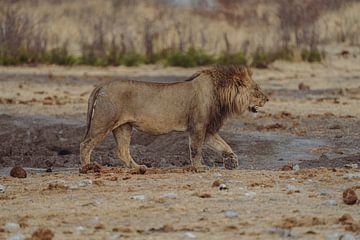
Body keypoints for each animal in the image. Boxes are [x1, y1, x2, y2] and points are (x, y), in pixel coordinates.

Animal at [80, 64, 268, 172]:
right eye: (256, 89)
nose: (267, 99)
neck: (221, 95)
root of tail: (101, 85)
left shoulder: (208, 129)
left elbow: (224, 145)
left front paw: (232, 161)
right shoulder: (198, 126)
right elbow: (196, 149)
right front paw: (199, 167)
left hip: (124, 126)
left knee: (122, 151)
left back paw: (139, 168)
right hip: (103, 122)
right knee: (85, 144)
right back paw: (87, 167)